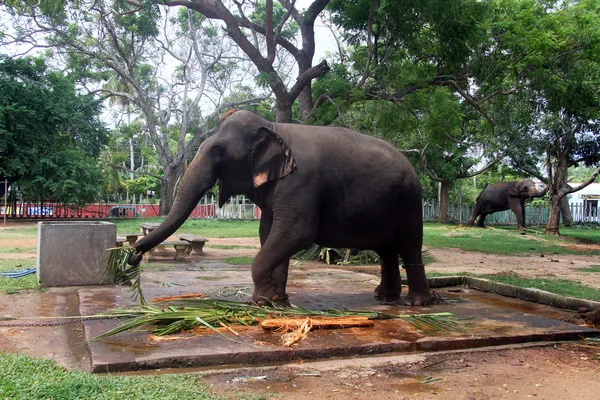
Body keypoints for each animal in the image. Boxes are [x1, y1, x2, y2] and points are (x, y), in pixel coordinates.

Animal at [129, 109, 432, 306]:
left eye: (217, 151)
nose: (133, 257)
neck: (273, 127)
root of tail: (410, 165)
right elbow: (269, 233)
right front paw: (277, 300)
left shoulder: (301, 182)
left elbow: (295, 232)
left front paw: (262, 301)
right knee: (386, 250)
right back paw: (385, 298)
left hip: (410, 199)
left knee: (408, 244)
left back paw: (416, 303)